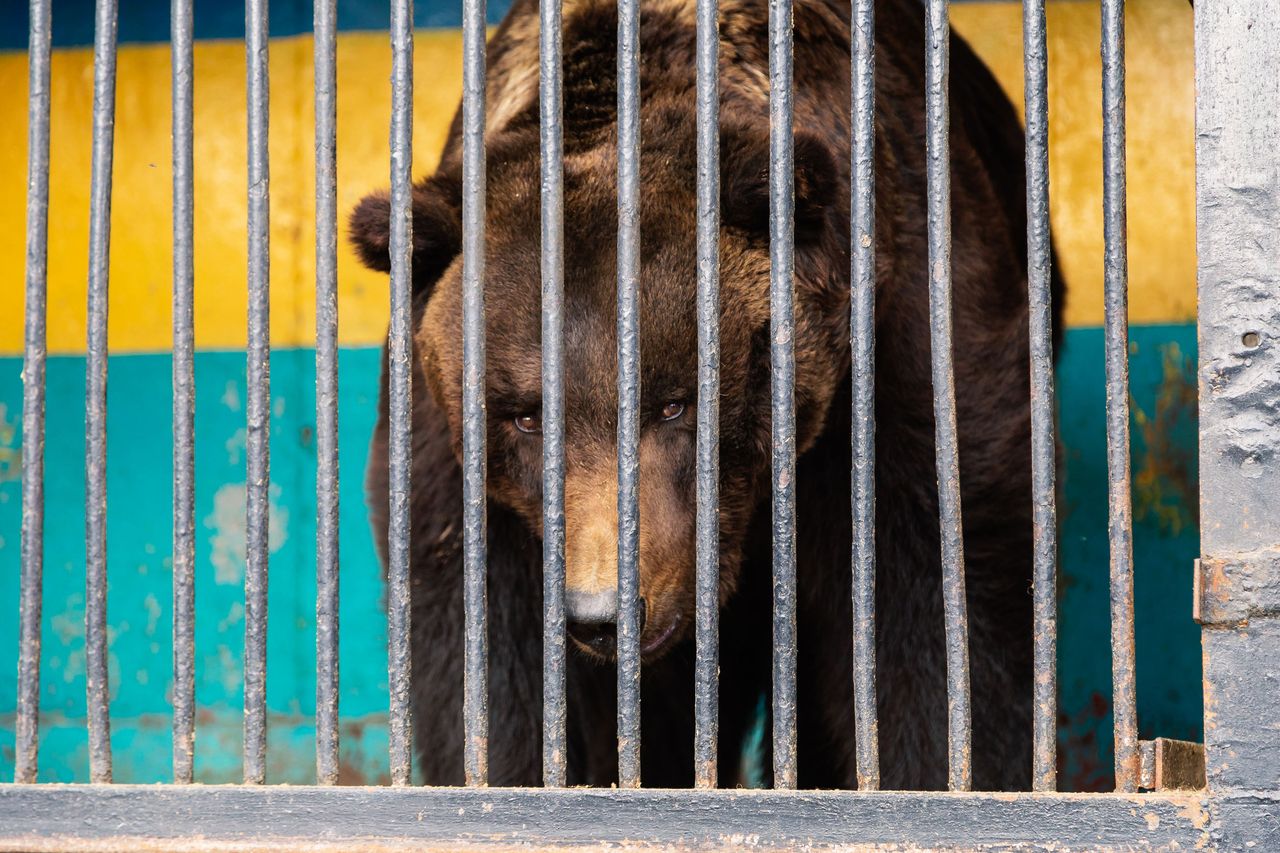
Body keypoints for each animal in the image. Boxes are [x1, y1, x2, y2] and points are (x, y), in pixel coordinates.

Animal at [350, 0, 1059, 788]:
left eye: (674, 402)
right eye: (527, 416)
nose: (604, 611)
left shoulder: (903, 328)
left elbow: (941, 589)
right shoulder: (451, 451)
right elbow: (483, 651)